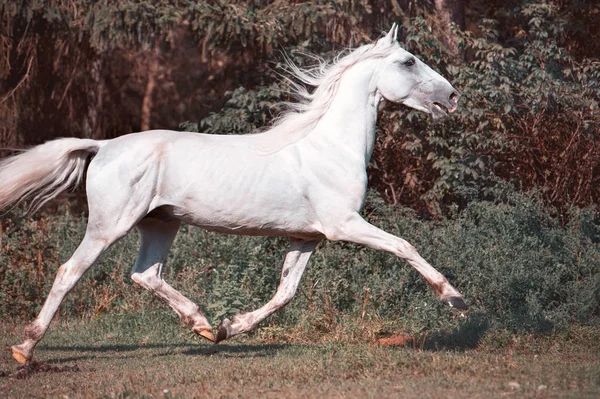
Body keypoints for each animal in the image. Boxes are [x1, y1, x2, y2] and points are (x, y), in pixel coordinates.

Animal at [0, 23, 464, 364]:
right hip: (109, 225)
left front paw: (230, 327)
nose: (453, 97)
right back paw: (24, 350)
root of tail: (103, 145)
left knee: (146, 274)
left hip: (160, 224)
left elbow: (285, 292)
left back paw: (203, 324)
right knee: (69, 272)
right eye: (408, 61)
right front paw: (454, 298)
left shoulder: (307, 237)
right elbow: (404, 246)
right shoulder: (344, 225)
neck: (330, 147)